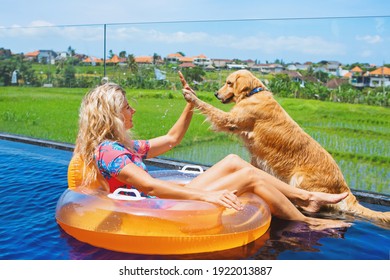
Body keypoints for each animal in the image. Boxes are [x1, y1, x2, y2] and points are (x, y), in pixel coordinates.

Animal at [183, 70, 390, 228]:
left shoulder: (230, 120)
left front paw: (193, 97)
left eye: (229, 83)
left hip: (299, 178)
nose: (216, 94)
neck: (254, 94)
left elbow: (209, 109)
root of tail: (345, 186)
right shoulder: (255, 160)